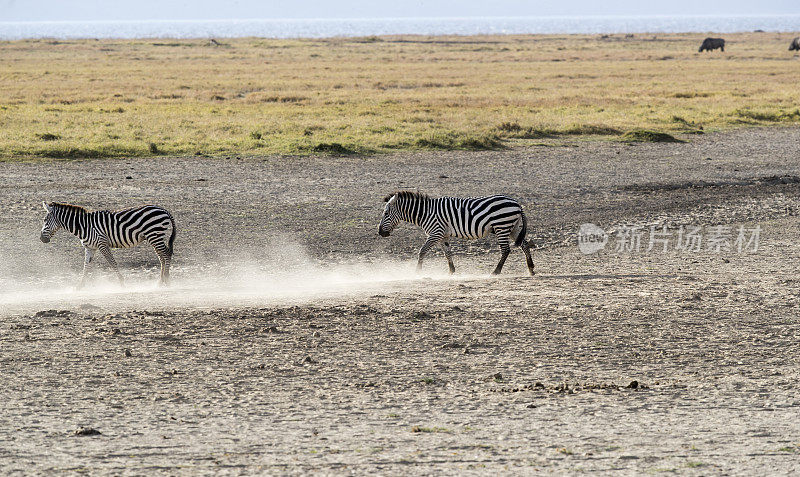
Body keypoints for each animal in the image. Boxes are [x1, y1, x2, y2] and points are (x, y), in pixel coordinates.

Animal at [40, 201, 177, 286]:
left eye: (45, 220)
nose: (41, 239)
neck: (84, 226)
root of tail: (164, 210)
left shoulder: (102, 243)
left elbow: (112, 263)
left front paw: (122, 282)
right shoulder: (90, 247)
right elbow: (86, 266)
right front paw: (80, 286)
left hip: (154, 235)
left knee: (166, 254)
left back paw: (167, 280)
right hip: (154, 236)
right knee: (161, 256)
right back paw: (160, 281)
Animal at [378, 191, 536, 276]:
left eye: (386, 214)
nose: (380, 233)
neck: (425, 213)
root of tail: (517, 203)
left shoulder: (435, 233)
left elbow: (422, 251)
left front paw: (417, 272)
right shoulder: (442, 235)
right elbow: (447, 253)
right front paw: (451, 271)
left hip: (501, 226)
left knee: (505, 249)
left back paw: (496, 271)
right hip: (513, 227)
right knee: (524, 245)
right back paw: (531, 269)